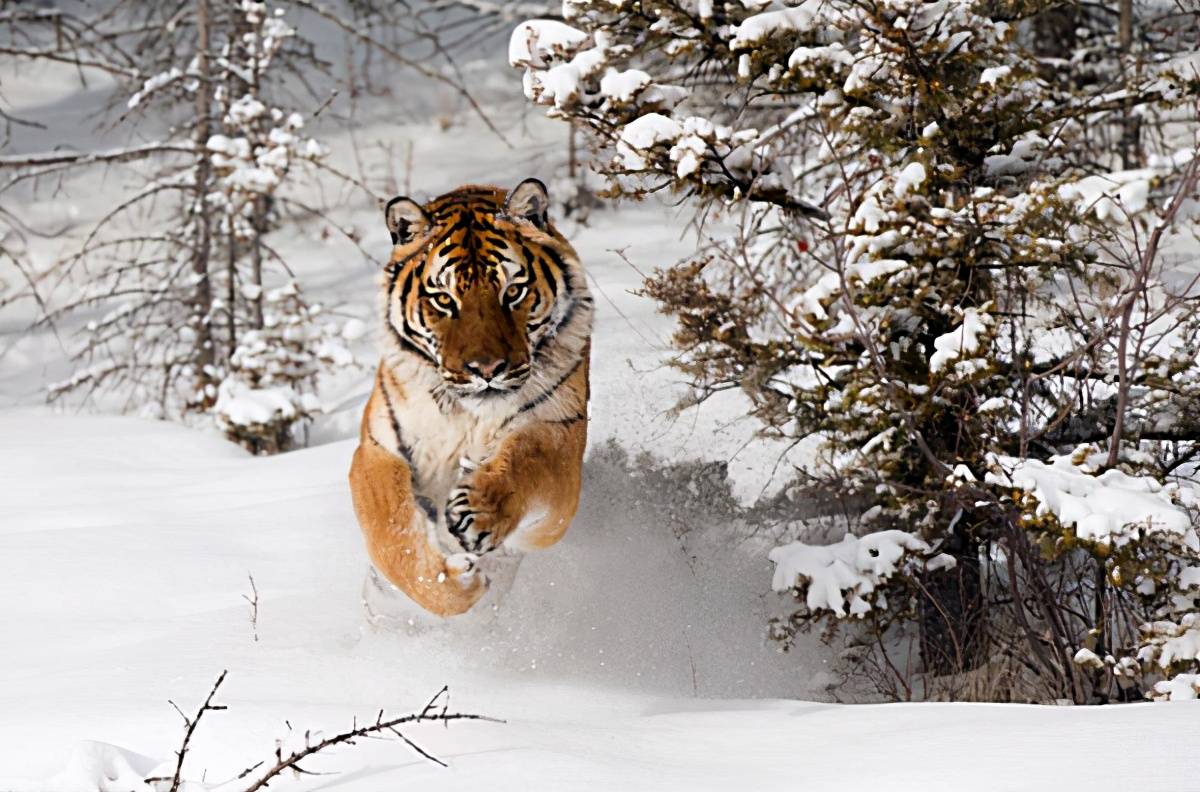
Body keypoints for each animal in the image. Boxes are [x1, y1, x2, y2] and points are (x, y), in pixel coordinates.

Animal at [345, 180, 592, 619]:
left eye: (513, 291)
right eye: (444, 300)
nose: (486, 369)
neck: (467, 415)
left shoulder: (561, 434)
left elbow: (529, 459)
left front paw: (478, 511)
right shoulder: (377, 448)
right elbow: (391, 532)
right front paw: (454, 582)